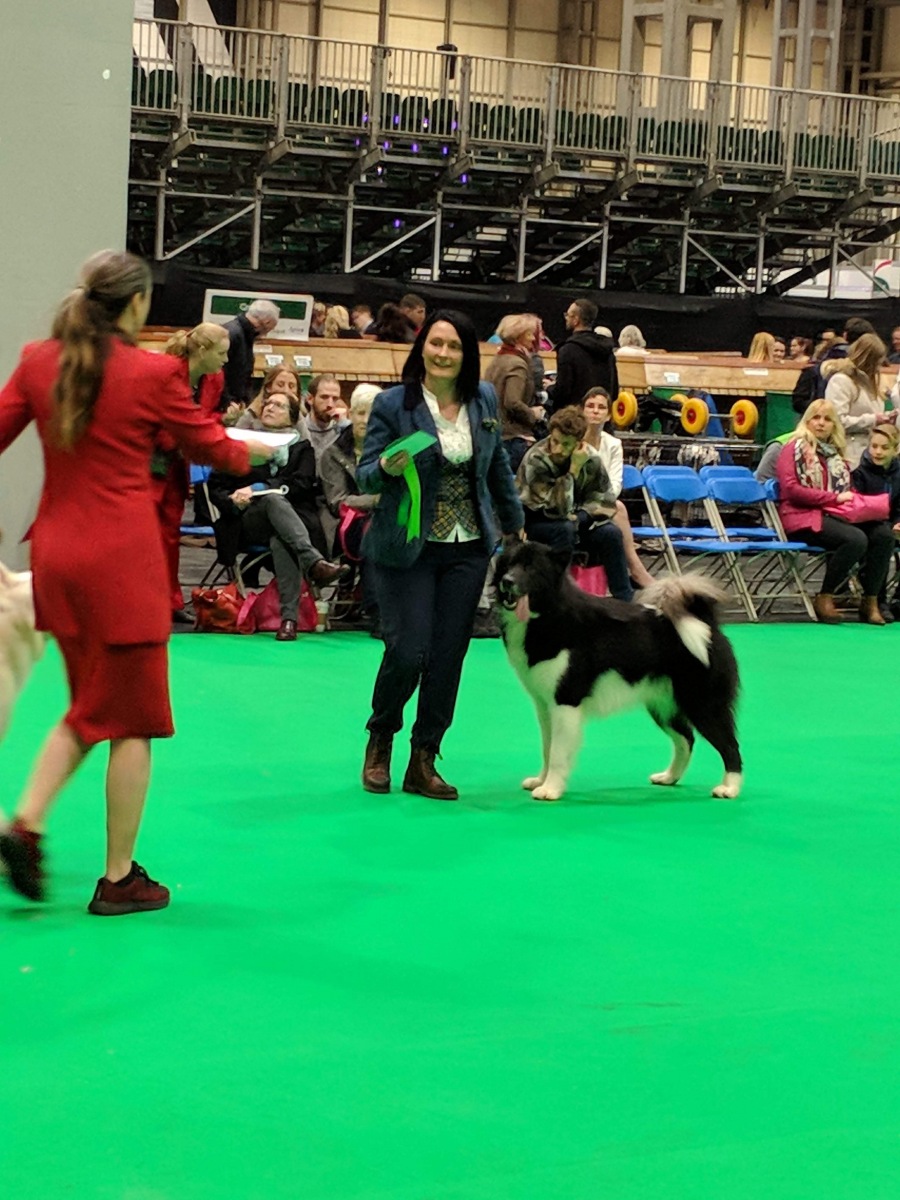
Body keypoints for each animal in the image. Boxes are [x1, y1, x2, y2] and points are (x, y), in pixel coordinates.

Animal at [494, 542, 742, 802]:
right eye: (508, 565)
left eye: (531, 568)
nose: (507, 581)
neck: (549, 613)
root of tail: (705, 623)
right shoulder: (544, 705)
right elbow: (547, 747)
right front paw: (541, 780)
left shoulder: (565, 702)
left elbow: (558, 752)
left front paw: (550, 789)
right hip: (663, 706)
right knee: (686, 739)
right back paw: (668, 777)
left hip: (703, 705)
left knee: (730, 746)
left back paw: (729, 788)